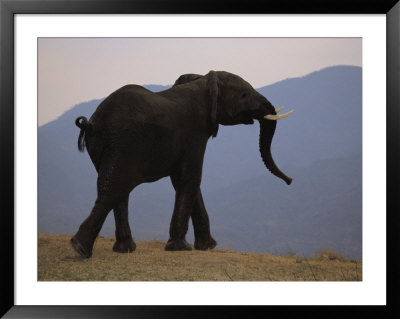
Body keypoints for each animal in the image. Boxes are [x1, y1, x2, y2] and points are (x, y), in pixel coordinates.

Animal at [70, 69, 292, 258]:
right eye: (244, 95)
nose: (290, 181)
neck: (204, 80)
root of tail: (91, 122)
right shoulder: (195, 133)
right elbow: (190, 178)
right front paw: (181, 248)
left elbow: (182, 180)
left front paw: (207, 247)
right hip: (123, 143)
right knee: (113, 186)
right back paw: (80, 248)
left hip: (102, 146)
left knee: (115, 188)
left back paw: (123, 249)